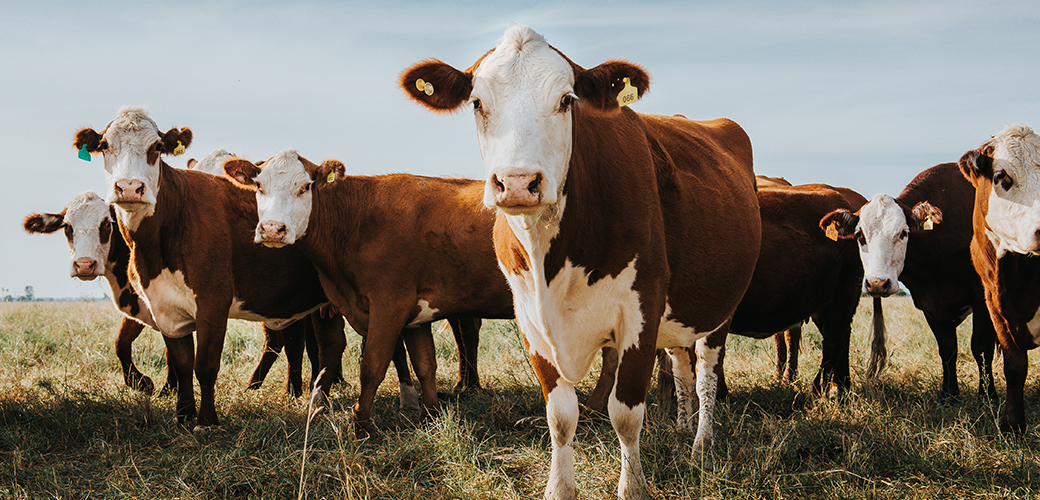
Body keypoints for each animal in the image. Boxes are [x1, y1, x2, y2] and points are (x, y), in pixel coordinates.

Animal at [75, 108, 349, 428]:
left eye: (156, 147)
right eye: (105, 145)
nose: (129, 187)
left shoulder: (212, 303)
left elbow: (204, 365)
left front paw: (206, 420)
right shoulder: (165, 308)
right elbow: (181, 363)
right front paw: (183, 414)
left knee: (327, 346)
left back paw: (318, 400)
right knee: (324, 343)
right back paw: (315, 398)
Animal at [221, 148, 513, 428]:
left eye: (304, 186)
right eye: (259, 186)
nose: (272, 229)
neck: (357, 220)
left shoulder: (390, 305)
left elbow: (372, 365)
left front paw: (361, 425)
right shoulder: (416, 316)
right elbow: (425, 364)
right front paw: (428, 419)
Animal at [401, 26, 761, 498]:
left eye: (566, 100)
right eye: (477, 102)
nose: (518, 182)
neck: (551, 260)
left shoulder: (641, 311)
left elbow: (626, 414)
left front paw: (633, 488)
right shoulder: (530, 319)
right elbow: (560, 416)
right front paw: (559, 488)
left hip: (720, 308)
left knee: (705, 374)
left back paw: (702, 444)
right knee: (683, 367)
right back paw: (683, 429)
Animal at [819, 162, 998, 399]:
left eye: (903, 233)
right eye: (860, 235)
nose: (877, 283)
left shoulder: (983, 297)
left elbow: (981, 347)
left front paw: (988, 396)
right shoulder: (931, 303)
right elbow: (948, 348)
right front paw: (949, 395)